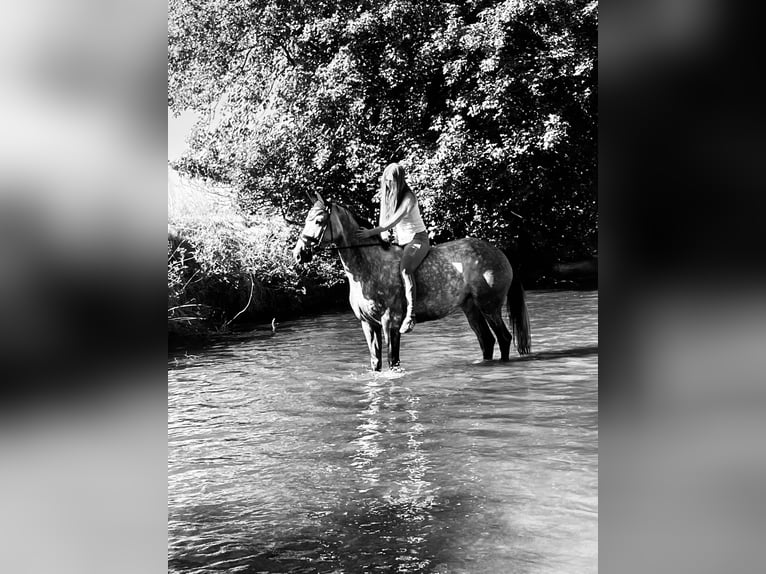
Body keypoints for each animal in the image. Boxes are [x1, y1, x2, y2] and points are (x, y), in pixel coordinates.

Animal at [292, 193, 531, 371]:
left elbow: (393, 361)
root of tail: (499, 252)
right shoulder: (367, 324)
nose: (298, 254)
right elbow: (376, 363)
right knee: (487, 341)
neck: (368, 267)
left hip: (489, 306)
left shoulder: (390, 322)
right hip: (470, 307)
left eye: (319, 221)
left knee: (504, 338)